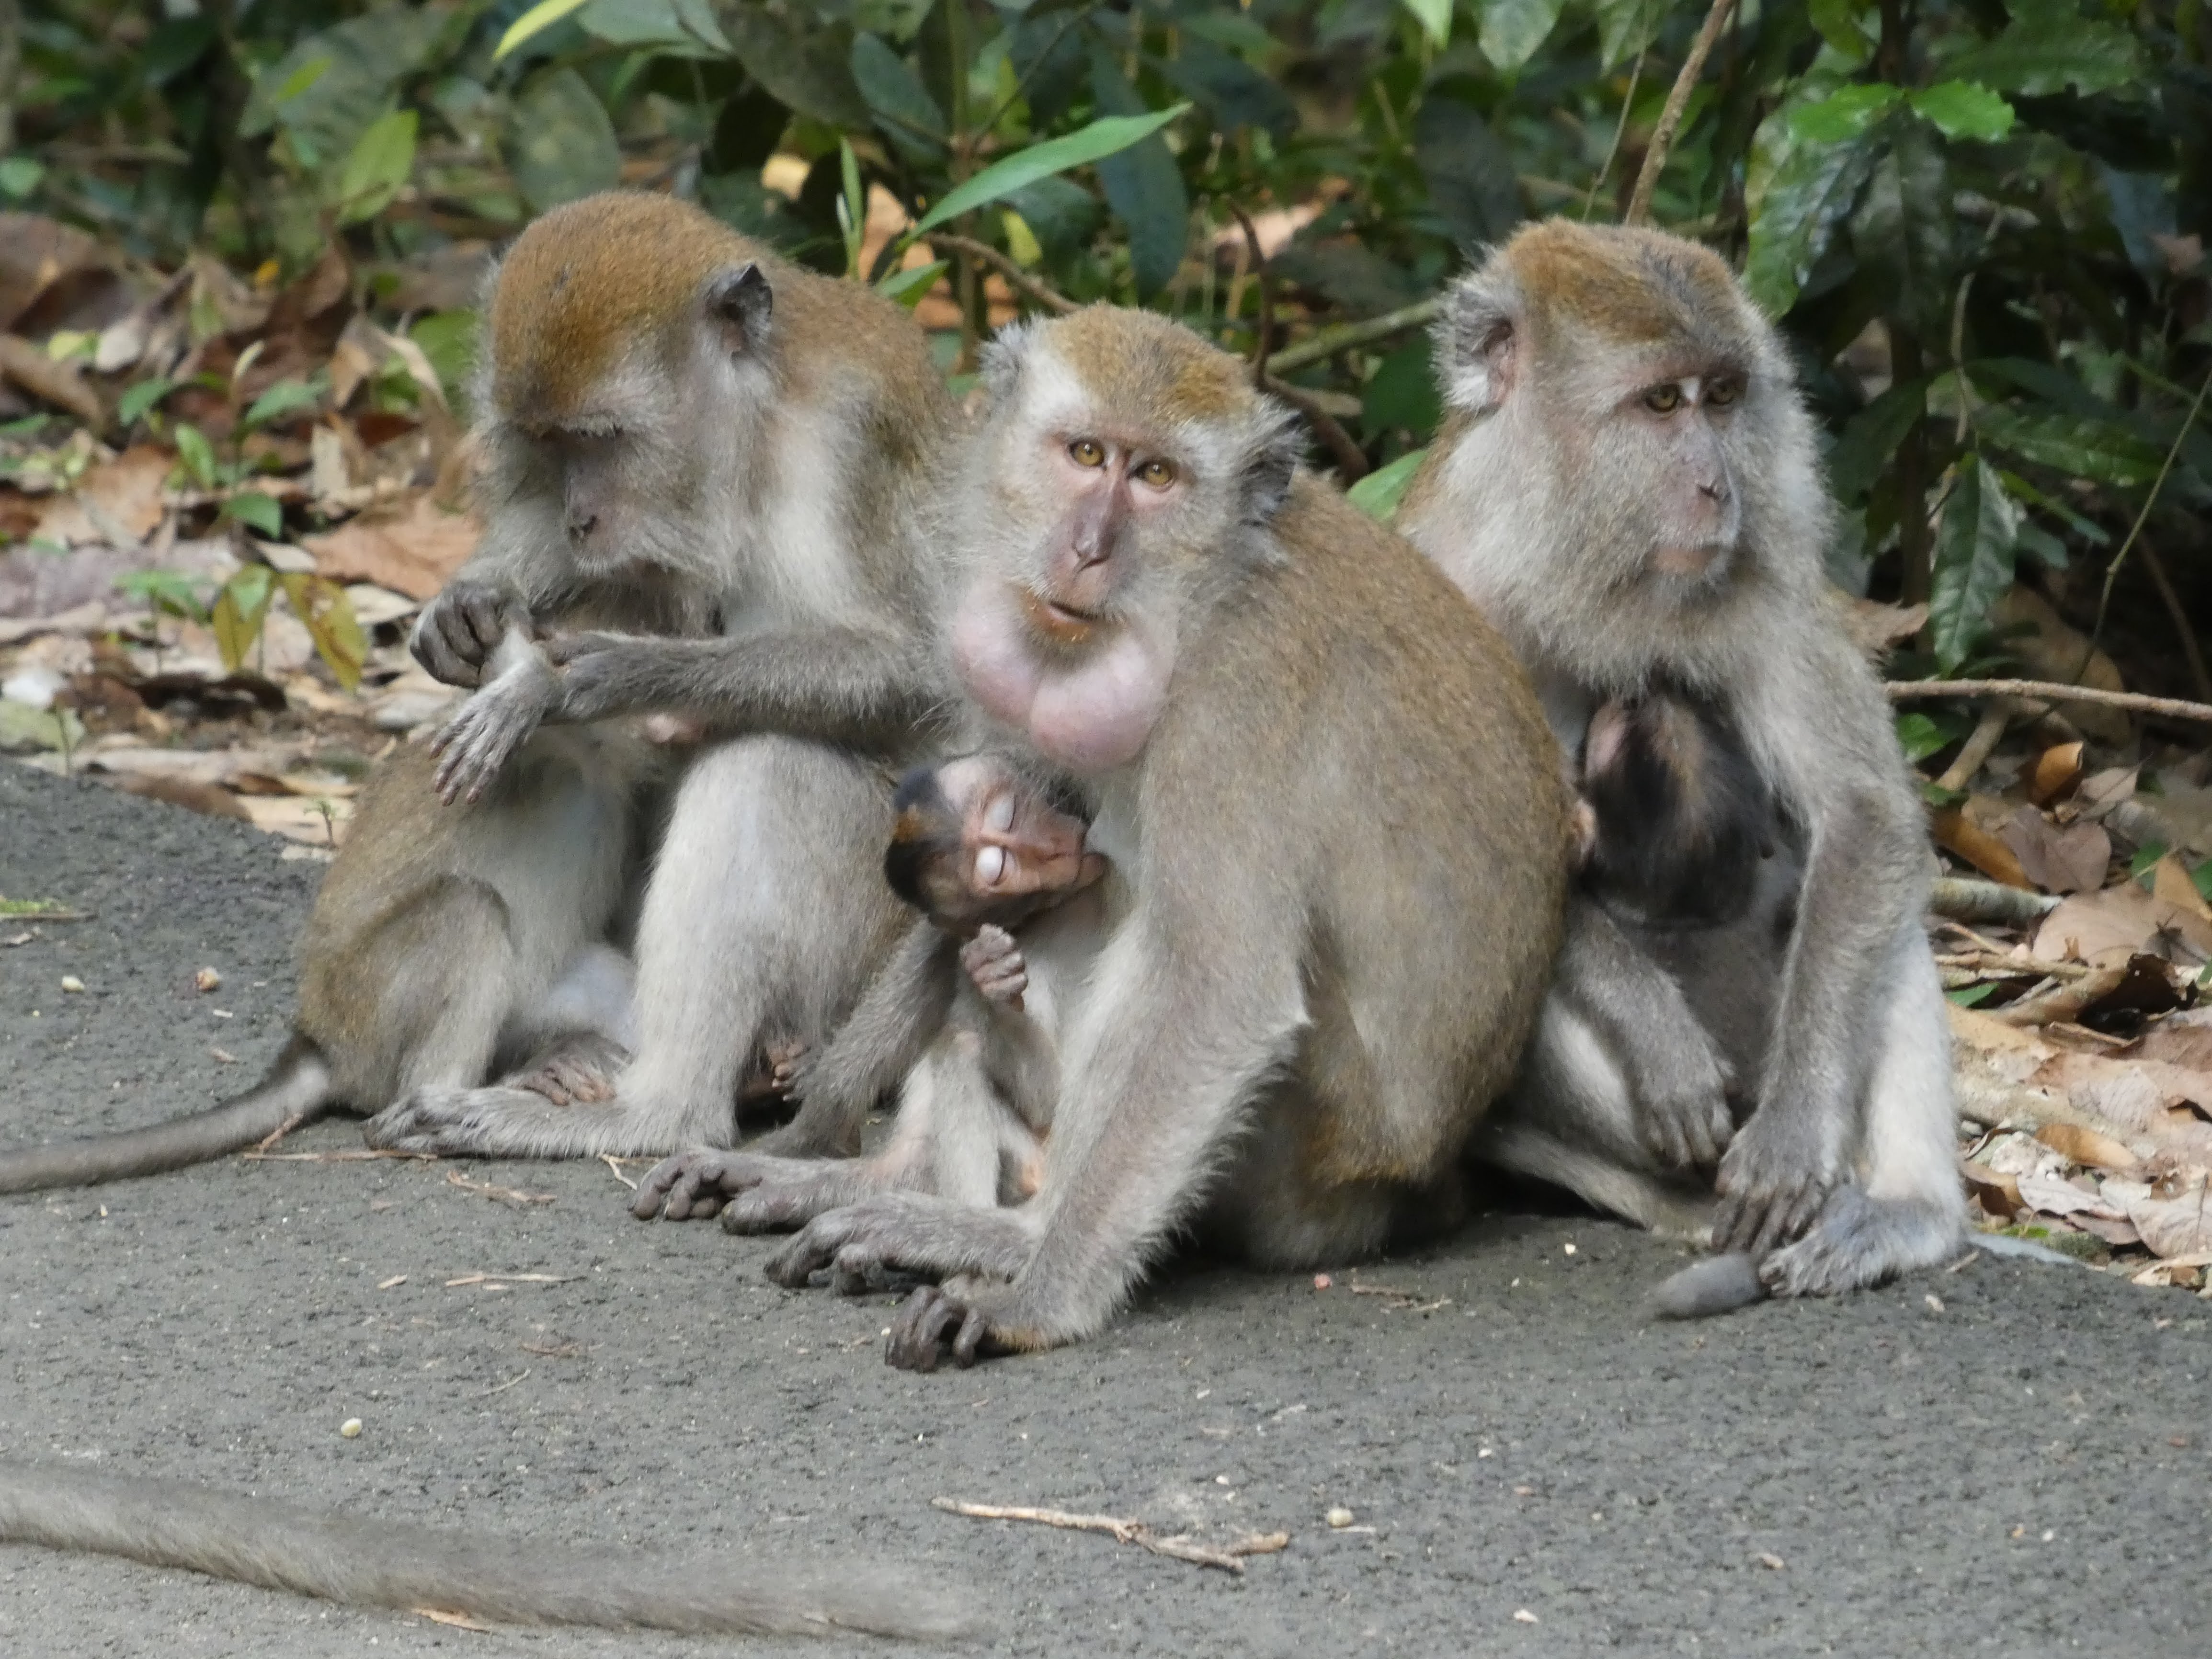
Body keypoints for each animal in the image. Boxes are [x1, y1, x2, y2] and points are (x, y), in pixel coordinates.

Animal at [647, 307, 1572, 1369]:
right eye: (1086, 454)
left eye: (1156, 476)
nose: (1087, 547)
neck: (1199, 591)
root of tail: (1416, 1190)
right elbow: (986, 847)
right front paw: (803, 1144)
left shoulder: (1234, 706)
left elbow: (1218, 993)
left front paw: (1036, 1293)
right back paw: (880, 1180)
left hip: (1302, 1164)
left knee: (1153, 938)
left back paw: (999, 1234)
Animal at [1395, 219, 1964, 1314]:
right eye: (1660, 403)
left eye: (1722, 396)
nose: (1716, 487)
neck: (1559, 559)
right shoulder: (1430, 588)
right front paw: (1654, 1032)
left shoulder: (1758, 583)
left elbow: (1863, 815)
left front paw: (1792, 1129)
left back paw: (1904, 1212)